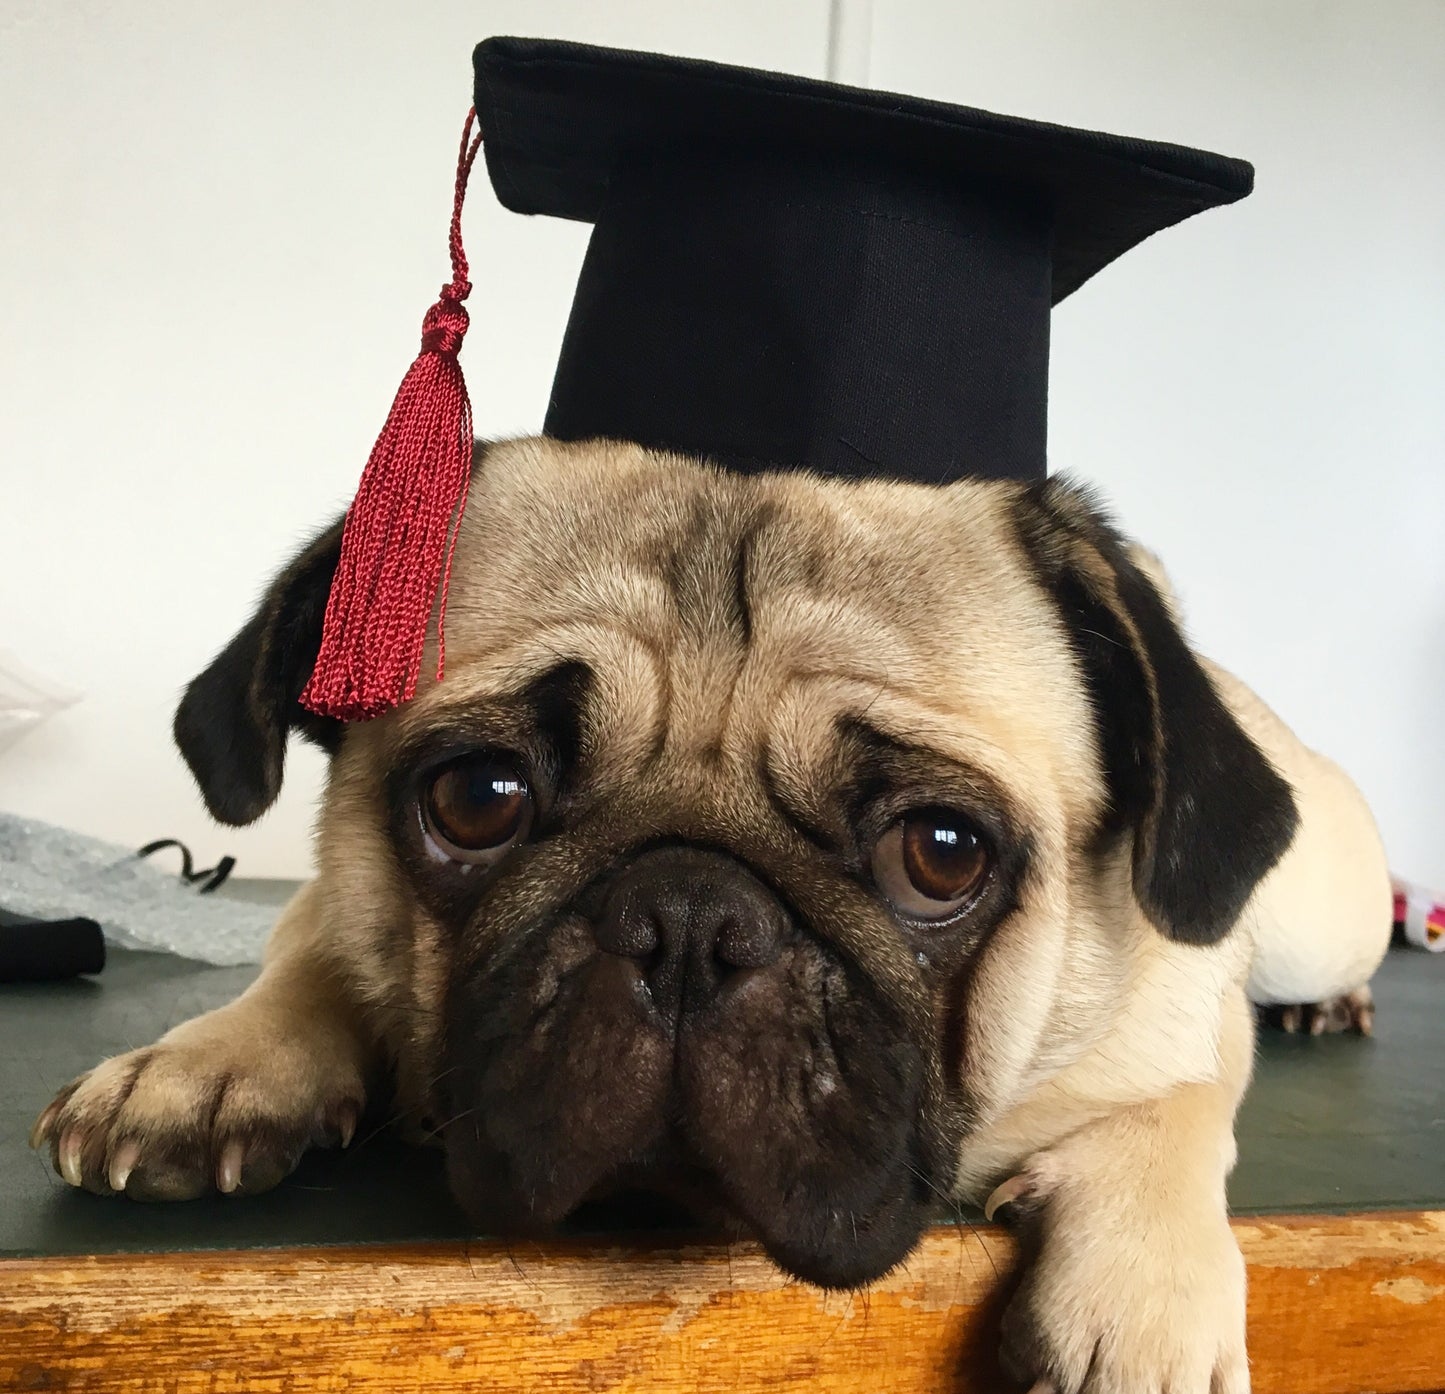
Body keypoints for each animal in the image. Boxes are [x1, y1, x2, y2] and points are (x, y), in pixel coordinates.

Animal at [31, 439, 1387, 1392]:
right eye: (477, 796)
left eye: (940, 854)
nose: (686, 920)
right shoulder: (336, 905)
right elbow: (305, 955)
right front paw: (209, 1064)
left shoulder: (1184, 1004)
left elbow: (1173, 1105)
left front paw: (1144, 1298)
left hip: (1318, 901)